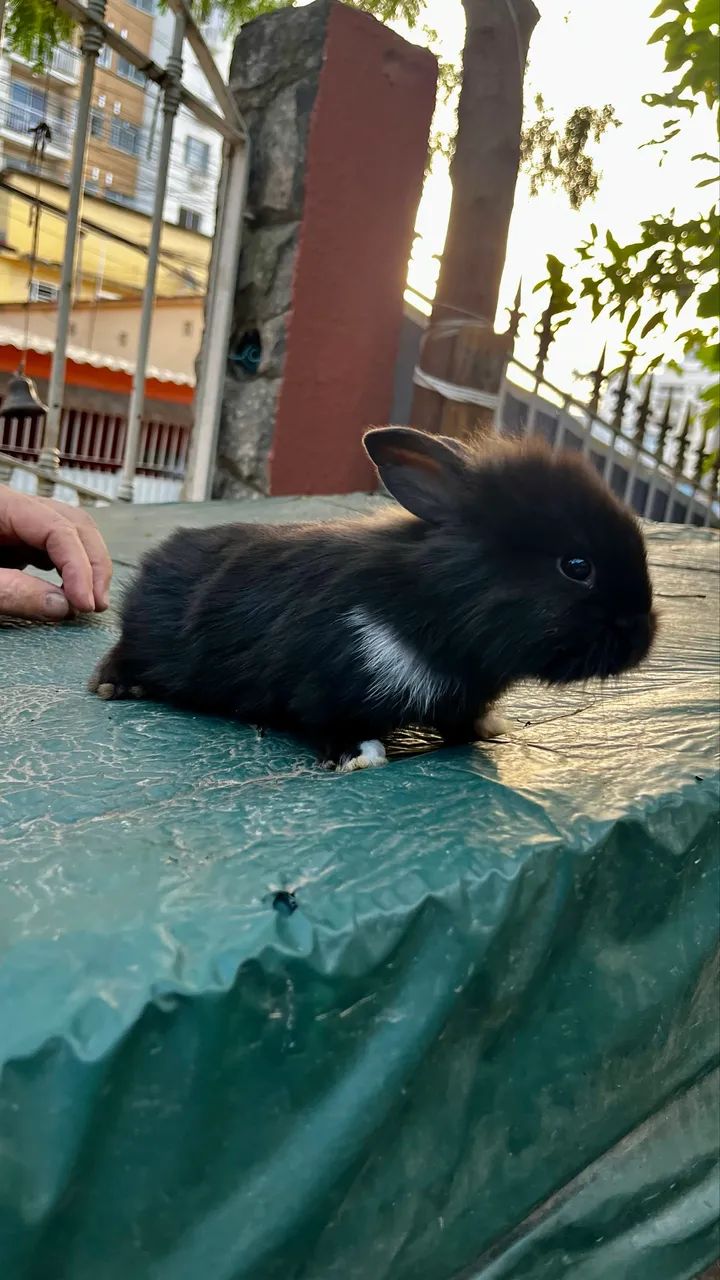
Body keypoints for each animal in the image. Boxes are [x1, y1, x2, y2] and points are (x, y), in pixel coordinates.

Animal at [89, 427, 656, 771]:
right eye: (576, 566)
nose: (643, 635)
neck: (436, 610)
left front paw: (492, 728)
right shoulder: (327, 679)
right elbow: (331, 720)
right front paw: (361, 756)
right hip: (148, 644)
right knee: (121, 655)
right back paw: (116, 687)